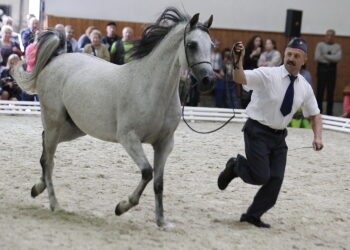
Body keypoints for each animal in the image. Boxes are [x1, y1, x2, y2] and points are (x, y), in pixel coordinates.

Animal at [12, 7, 215, 227]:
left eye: (211, 45)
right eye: (191, 44)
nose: (208, 80)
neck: (152, 88)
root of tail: (55, 60)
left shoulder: (164, 144)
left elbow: (159, 183)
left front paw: (162, 221)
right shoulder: (129, 138)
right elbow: (147, 172)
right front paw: (122, 207)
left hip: (73, 129)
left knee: (44, 150)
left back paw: (37, 188)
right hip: (54, 123)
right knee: (49, 160)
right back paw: (55, 204)